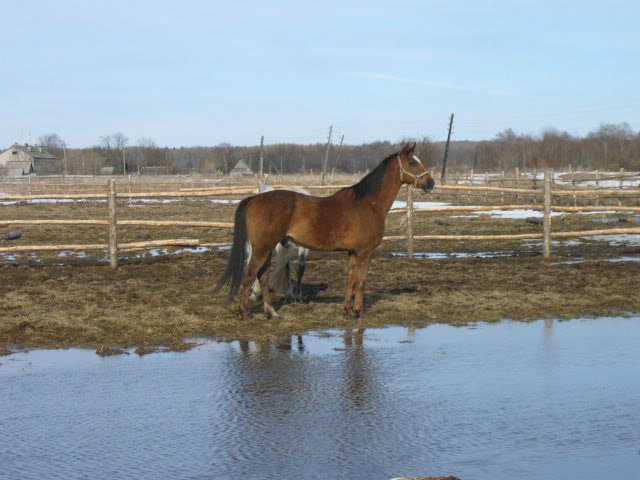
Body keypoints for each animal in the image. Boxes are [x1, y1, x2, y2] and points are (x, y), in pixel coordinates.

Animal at [216, 144, 436, 320]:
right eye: (412, 162)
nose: (431, 183)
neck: (368, 203)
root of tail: (255, 198)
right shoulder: (365, 251)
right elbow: (362, 280)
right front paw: (359, 311)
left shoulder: (353, 252)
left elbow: (351, 279)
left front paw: (347, 310)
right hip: (263, 247)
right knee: (250, 275)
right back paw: (245, 313)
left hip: (268, 248)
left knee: (262, 277)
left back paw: (272, 312)